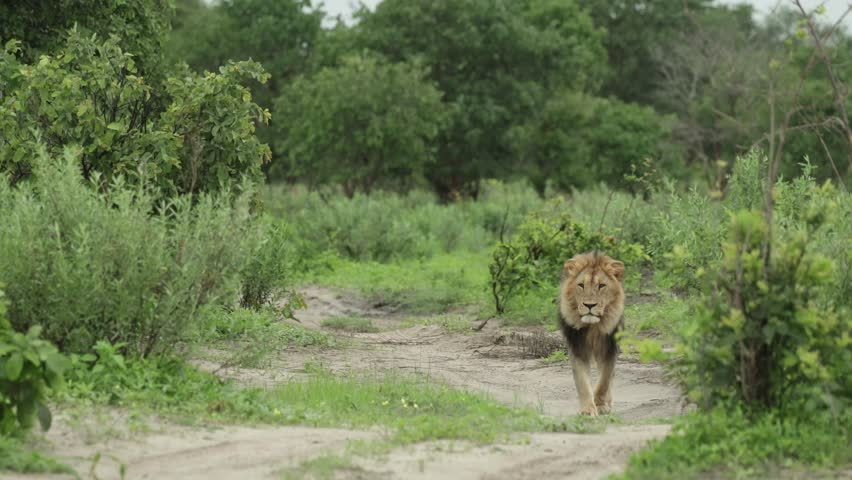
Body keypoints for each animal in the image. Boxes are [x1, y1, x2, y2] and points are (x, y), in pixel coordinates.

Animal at [558, 251, 625, 416]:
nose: (589, 305)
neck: (593, 327)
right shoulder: (577, 348)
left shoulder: (610, 348)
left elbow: (604, 380)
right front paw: (587, 410)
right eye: (581, 285)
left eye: (601, 286)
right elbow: (582, 382)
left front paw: (600, 405)